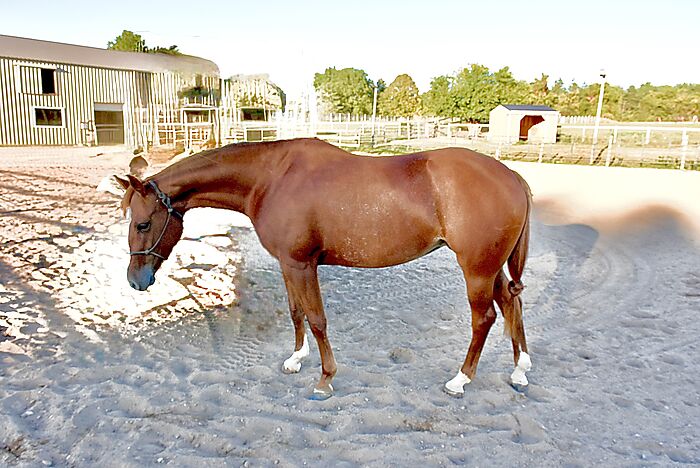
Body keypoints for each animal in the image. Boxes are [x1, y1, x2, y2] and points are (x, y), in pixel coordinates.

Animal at [115, 138, 533, 399]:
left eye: (143, 223)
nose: (135, 281)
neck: (271, 178)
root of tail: (512, 176)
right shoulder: (287, 264)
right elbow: (296, 312)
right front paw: (295, 359)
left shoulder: (302, 264)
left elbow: (317, 319)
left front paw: (325, 379)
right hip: (491, 269)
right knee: (512, 304)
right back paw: (520, 371)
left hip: (476, 270)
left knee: (484, 319)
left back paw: (460, 380)